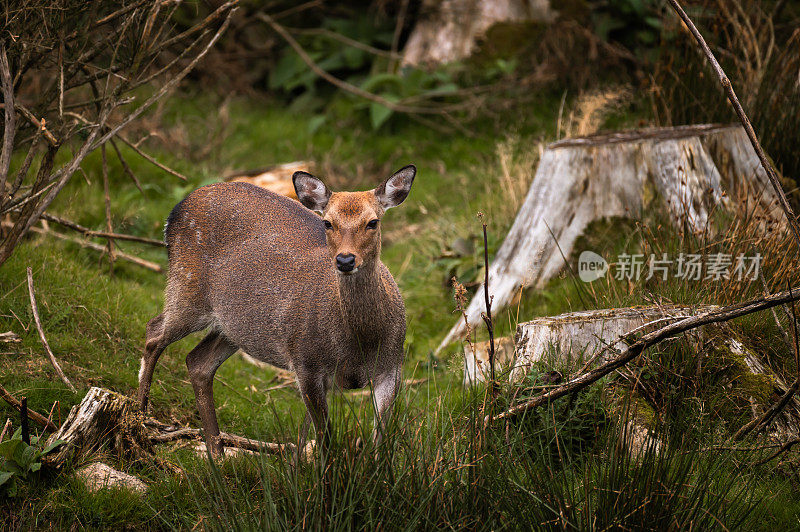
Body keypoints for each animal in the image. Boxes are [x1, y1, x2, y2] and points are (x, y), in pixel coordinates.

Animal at [136, 166, 418, 458]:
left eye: (373, 222)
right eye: (328, 223)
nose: (345, 260)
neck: (361, 341)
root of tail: (176, 210)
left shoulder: (392, 368)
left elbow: (379, 442)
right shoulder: (306, 362)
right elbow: (325, 439)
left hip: (235, 325)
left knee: (198, 362)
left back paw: (217, 455)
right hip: (187, 287)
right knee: (154, 332)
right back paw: (140, 424)